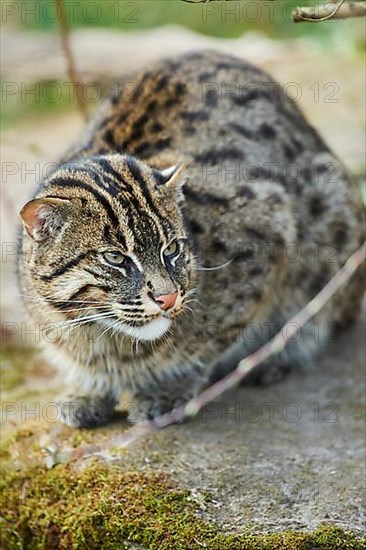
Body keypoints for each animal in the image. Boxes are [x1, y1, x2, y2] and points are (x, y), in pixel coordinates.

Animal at [18, 50, 364, 426]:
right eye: (115, 258)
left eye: (171, 249)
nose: (168, 298)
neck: (99, 331)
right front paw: (88, 389)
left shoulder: (271, 223)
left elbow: (213, 342)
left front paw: (169, 388)